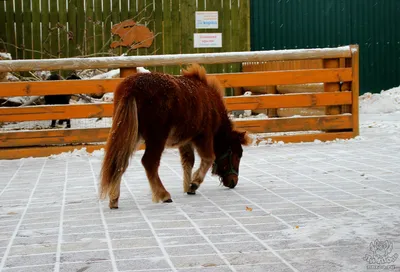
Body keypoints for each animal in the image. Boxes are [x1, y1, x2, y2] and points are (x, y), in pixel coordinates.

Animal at [100, 63, 250, 208]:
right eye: (237, 155)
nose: (233, 182)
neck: (211, 104)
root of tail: (131, 88)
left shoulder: (186, 140)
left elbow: (188, 161)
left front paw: (188, 187)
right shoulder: (204, 136)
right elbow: (208, 158)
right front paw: (194, 183)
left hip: (131, 134)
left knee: (120, 161)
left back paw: (114, 199)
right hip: (156, 137)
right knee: (149, 162)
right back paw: (163, 195)